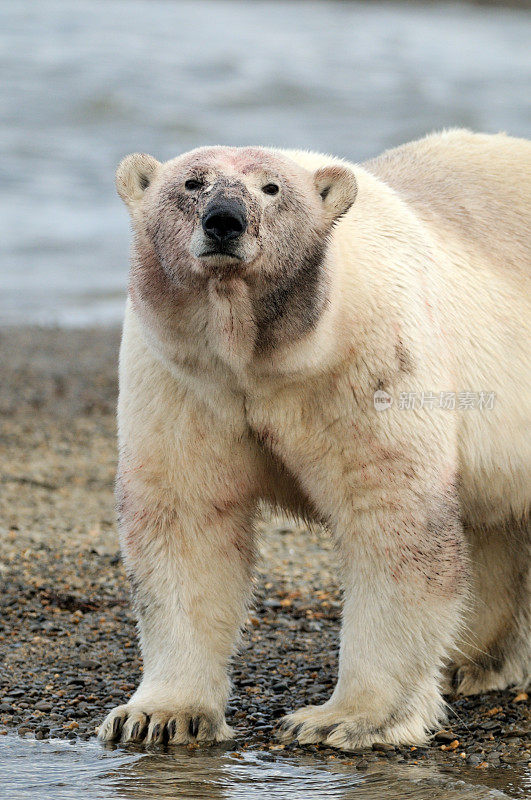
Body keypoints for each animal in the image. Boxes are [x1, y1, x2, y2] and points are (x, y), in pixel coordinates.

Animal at [97, 131, 528, 752]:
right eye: (193, 182)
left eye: (271, 188)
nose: (224, 221)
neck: (261, 357)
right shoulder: (184, 377)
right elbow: (185, 517)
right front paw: (158, 715)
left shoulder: (369, 359)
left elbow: (391, 520)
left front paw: (342, 718)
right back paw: (472, 663)